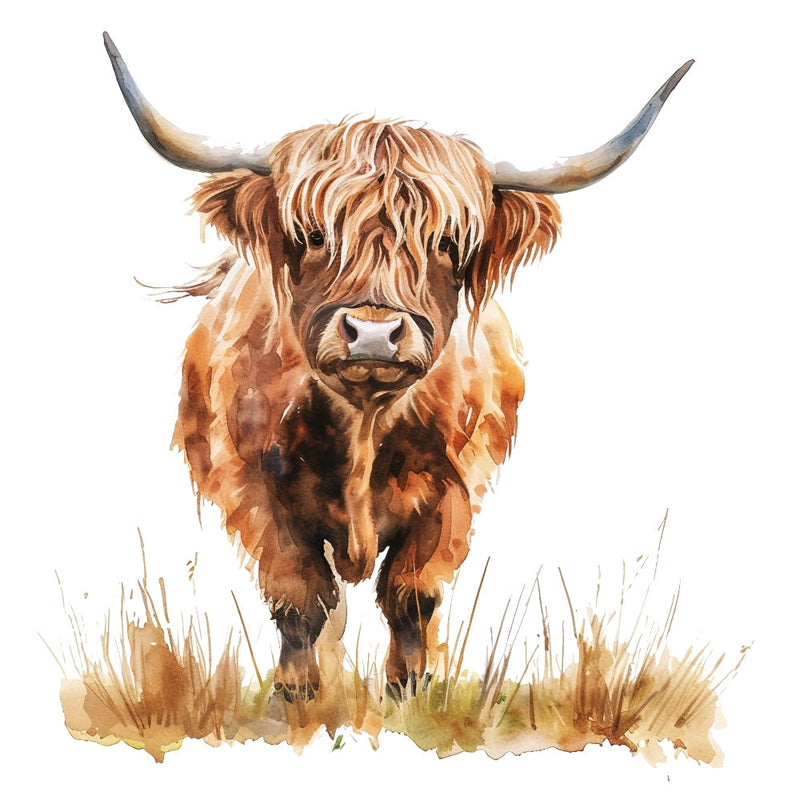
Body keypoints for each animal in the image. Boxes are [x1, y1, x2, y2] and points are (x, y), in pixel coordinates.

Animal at [104, 33, 691, 701]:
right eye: (313, 235)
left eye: (446, 242)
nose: (375, 334)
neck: (363, 423)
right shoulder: (253, 488)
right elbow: (299, 595)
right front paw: (297, 696)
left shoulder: (454, 490)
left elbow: (411, 596)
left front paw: (408, 691)